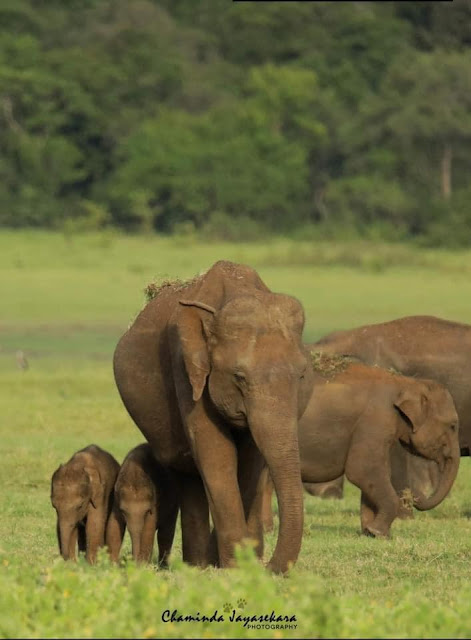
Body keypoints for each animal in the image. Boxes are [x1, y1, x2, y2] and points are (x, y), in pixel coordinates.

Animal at [113, 262, 314, 576]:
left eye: (302, 374)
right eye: (239, 377)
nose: (269, 567)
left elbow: (250, 461)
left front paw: (242, 562)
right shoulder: (185, 365)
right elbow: (217, 453)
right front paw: (235, 567)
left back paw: (201, 562)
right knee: (188, 472)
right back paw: (197, 565)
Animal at [298, 352, 460, 536]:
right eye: (452, 426)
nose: (414, 496)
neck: (406, 382)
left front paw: (369, 532)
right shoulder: (376, 419)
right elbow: (362, 470)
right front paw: (379, 533)